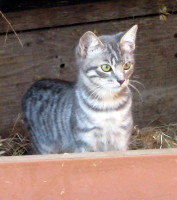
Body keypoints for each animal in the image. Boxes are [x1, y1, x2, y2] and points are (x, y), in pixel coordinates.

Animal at [21, 24, 138, 154]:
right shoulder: (84, 142)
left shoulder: (121, 139)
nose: (121, 80)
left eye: (127, 65)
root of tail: (33, 86)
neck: (108, 105)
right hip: (42, 146)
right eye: (106, 67)